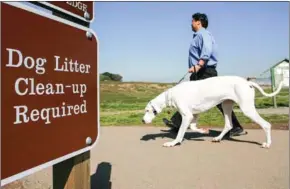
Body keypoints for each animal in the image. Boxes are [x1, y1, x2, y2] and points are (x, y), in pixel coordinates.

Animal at [142, 76, 284, 148]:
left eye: (147, 110)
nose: (142, 120)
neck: (170, 95)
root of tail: (247, 82)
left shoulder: (187, 116)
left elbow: (181, 132)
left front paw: (173, 143)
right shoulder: (194, 114)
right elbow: (193, 127)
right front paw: (204, 131)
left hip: (247, 109)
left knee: (266, 125)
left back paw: (267, 144)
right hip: (226, 106)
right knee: (228, 125)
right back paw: (218, 138)